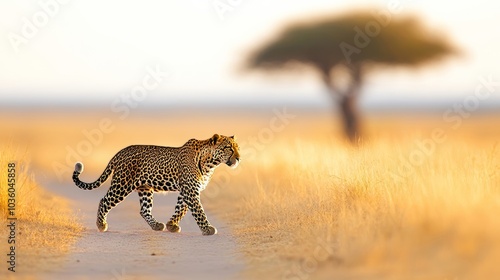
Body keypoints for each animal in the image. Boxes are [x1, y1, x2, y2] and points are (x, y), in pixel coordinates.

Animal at [72, 135, 240, 235]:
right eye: (228, 148)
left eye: (237, 148)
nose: (239, 158)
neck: (209, 163)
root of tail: (119, 152)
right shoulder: (190, 190)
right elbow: (198, 211)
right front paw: (207, 228)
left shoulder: (187, 190)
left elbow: (180, 209)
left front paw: (171, 225)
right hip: (122, 184)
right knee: (104, 201)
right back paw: (101, 225)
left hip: (145, 188)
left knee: (144, 210)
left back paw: (157, 225)